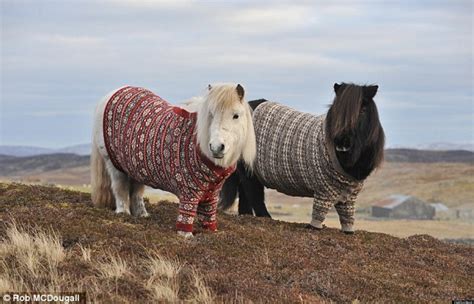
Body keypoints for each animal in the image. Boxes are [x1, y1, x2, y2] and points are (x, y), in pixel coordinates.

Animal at [91, 83, 256, 238]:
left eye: (236, 115)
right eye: (210, 114)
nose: (216, 147)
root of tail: (112, 93)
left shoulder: (212, 194)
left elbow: (208, 216)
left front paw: (210, 232)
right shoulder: (189, 192)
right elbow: (186, 217)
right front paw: (186, 235)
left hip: (135, 168)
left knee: (137, 192)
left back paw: (142, 215)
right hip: (114, 165)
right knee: (120, 188)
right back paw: (123, 213)